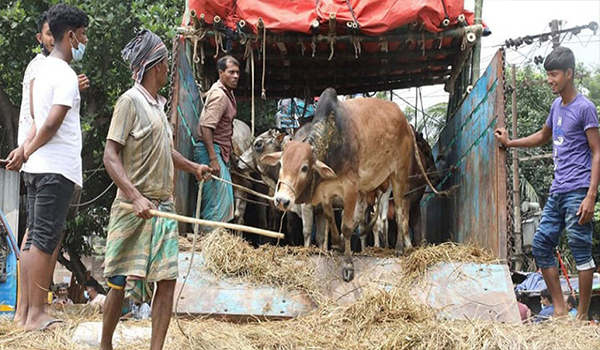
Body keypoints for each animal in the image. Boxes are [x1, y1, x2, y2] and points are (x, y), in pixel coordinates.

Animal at [262, 88, 436, 282]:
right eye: (281, 164)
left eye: (304, 168)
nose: (281, 200)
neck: (333, 142)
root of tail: (405, 123)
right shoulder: (326, 194)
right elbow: (330, 220)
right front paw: (337, 245)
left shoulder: (350, 190)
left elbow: (346, 227)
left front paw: (347, 265)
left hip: (398, 175)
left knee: (399, 212)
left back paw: (398, 248)